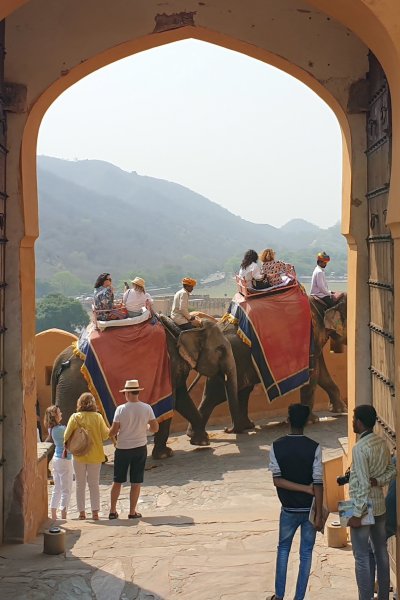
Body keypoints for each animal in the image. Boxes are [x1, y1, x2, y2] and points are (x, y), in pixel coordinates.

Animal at [50, 318, 241, 460]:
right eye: (220, 349)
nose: (228, 430)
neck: (181, 328)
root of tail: (60, 360)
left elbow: (182, 399)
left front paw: (201, 442)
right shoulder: (168, 365)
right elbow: (172, 402)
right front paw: (165, 455)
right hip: (72, 387)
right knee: (64, 421)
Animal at [188, 292, 346, 428]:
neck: (325, 301)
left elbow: (321, 374)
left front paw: (340, 410)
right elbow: (314, 375)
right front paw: (312, 421)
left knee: (226, 392)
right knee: (219, 394)